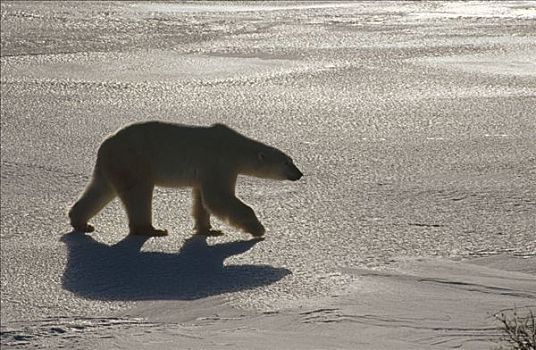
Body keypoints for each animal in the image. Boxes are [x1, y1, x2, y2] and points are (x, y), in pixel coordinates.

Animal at [68, 121, 302, 238]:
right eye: (287, 163)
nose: (299, 174)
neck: (235, 147)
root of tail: (104, 144)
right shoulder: (219, 162)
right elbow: (219, 197)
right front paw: (258, 229)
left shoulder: (208, 170)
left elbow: (202, 200)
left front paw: (209, 229)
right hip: (134, 160)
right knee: (139, 193)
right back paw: (152, 230)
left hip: (113, 165)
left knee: (100, 189)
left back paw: (81, 223)